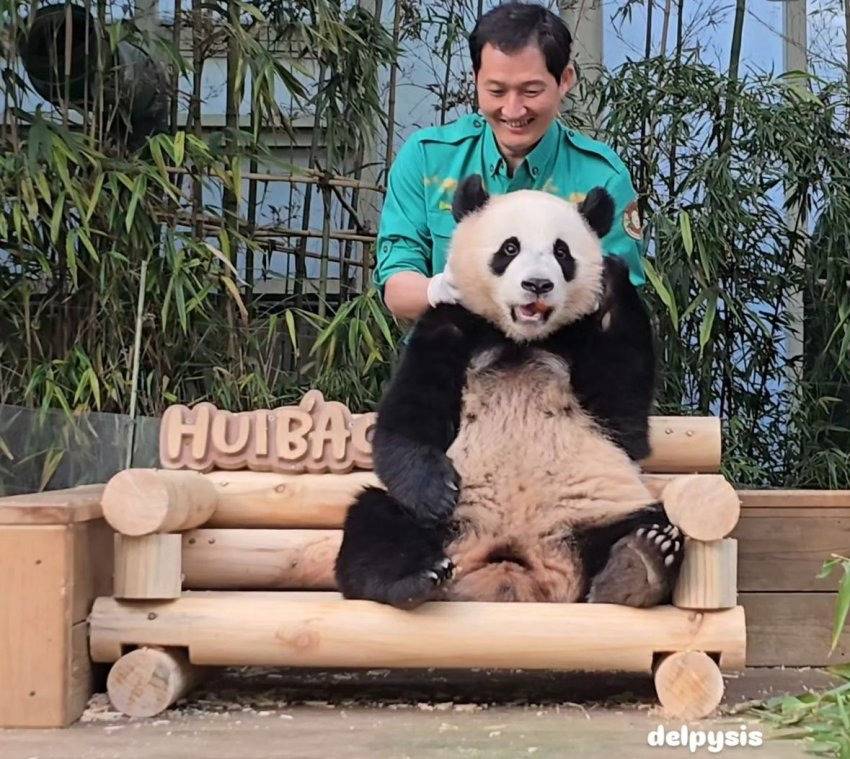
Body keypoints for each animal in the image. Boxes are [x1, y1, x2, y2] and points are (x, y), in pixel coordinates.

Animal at [332, 175, 684, 608]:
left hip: (599, 511)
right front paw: (434, 492)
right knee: (377, 520)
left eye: (562, 252)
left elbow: (625, 419)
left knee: (651, 520)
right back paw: (414, 578)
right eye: (510, 248)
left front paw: (613, 277)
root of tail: (514, 578)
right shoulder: (451, 325)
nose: (537, 284)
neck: (520, 339)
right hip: (448, 527)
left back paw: (639, 563)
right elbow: (410, 415)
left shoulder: (581, 342)